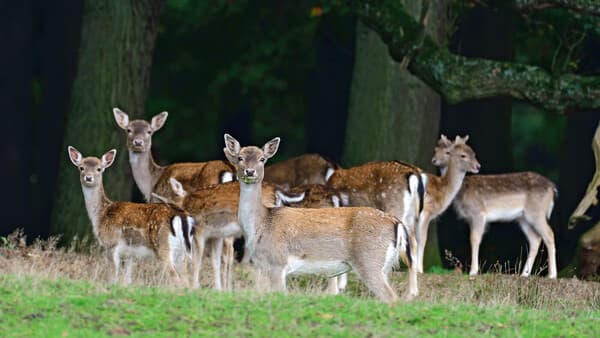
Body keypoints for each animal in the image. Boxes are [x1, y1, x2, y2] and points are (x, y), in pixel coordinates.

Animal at [68, 146, 195, 286]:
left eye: (99, 169)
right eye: (81, 167)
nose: (88, 178)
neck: (101, 214)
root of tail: (182, 216)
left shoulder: (111, 244)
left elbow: (113, 277)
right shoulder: (129, 254)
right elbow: (127, 281)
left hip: (163, 246)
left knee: (175, 278)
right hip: (182, 252)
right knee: (186, 280)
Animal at [224, 133, 418, 302]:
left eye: (262, 159)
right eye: (240, 157)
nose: (250, 172)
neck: (260, 225)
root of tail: (397, 223)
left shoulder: (277, 262)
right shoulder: (264, 267)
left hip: (370, 261)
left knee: (392, 298)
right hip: (384, 266)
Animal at [432, 135, 556, 278]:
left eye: (472, 154)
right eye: (435, 149)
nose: (434, 160)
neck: (461, 192)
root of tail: (553, 188)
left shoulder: (478, 212)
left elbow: (474, 239)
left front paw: (473, 271)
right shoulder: (470, 218)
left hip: (536, 212)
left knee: (549, 234)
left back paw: (552, 275)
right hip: (523, 218)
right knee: (535, 239)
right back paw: (524, 274)